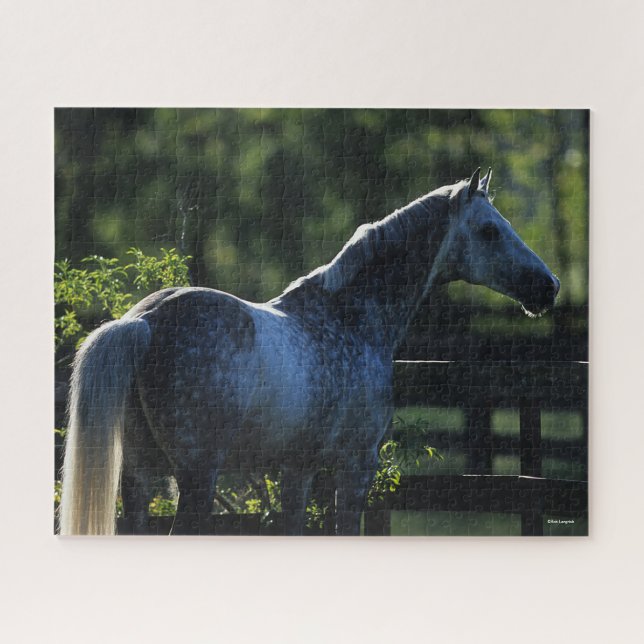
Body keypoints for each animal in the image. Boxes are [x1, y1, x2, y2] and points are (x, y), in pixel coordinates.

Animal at [58, 167, 560, 536]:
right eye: (489, 230)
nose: (549, 287)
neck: (350, 318)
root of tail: (144, 322)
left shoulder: (296, 470)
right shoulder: (355, 467)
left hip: (139, 479)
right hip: (197, 480)